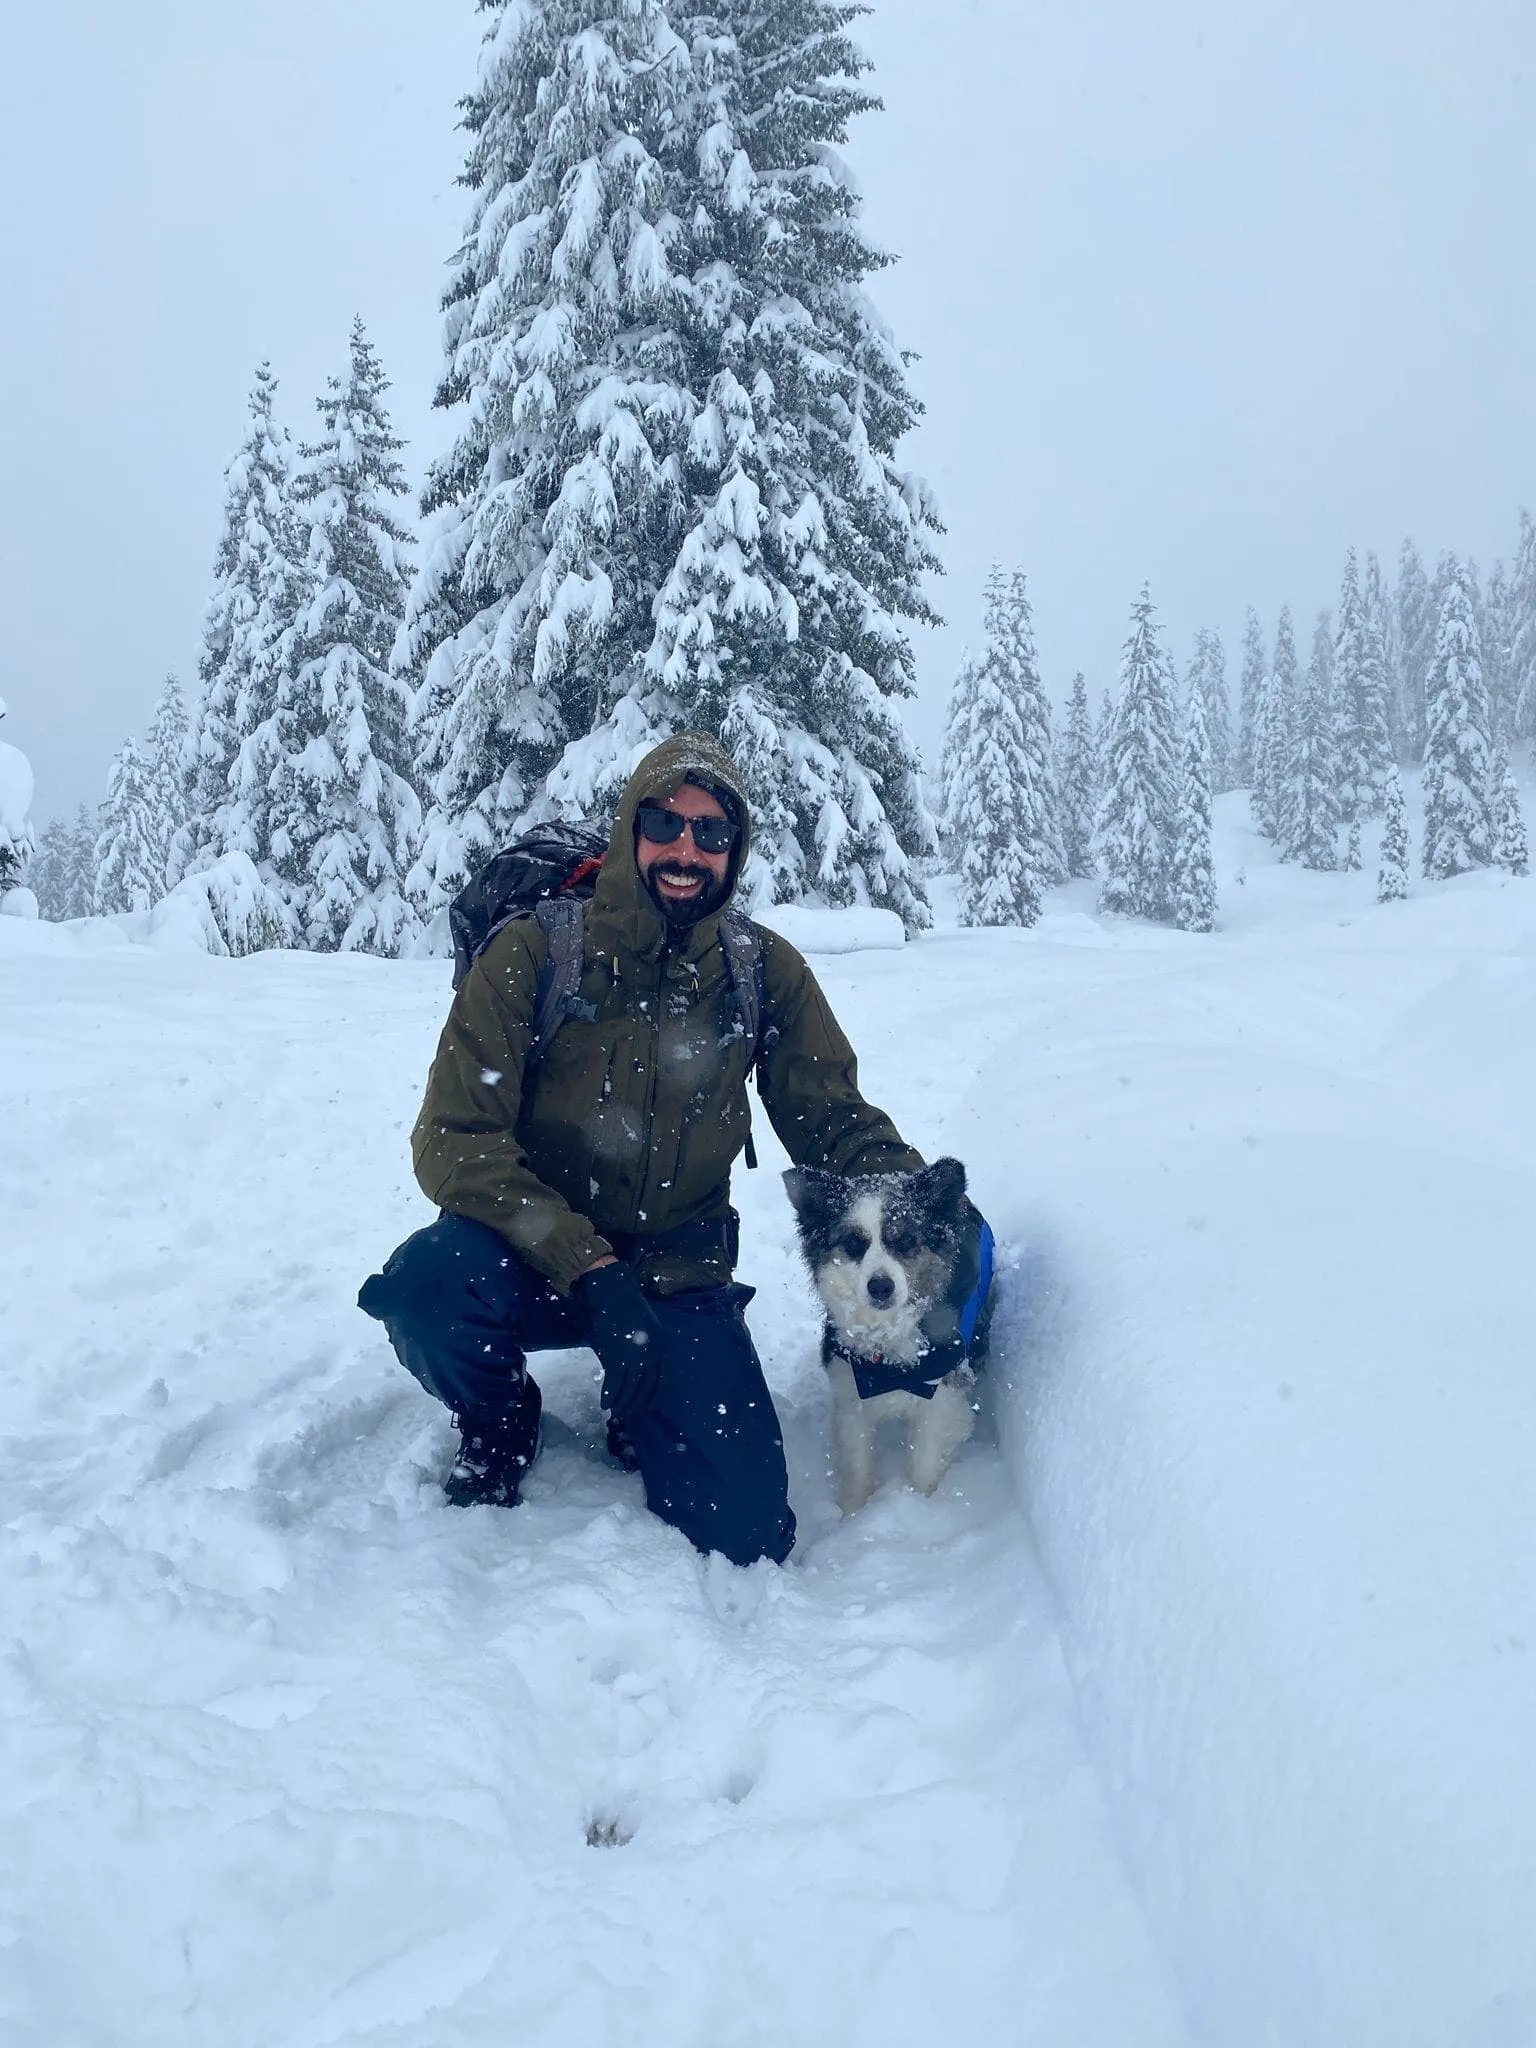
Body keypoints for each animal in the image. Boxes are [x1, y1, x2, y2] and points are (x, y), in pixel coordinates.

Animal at [786, 1163, 991, 1515]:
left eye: (906, 1240)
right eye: (854, 1243)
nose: (880, 1286)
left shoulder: (941, 1397)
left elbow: (925, 1463)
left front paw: (915, 1508)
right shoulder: (851, 1395)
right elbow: (857, 1465)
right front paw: (852, 1517)